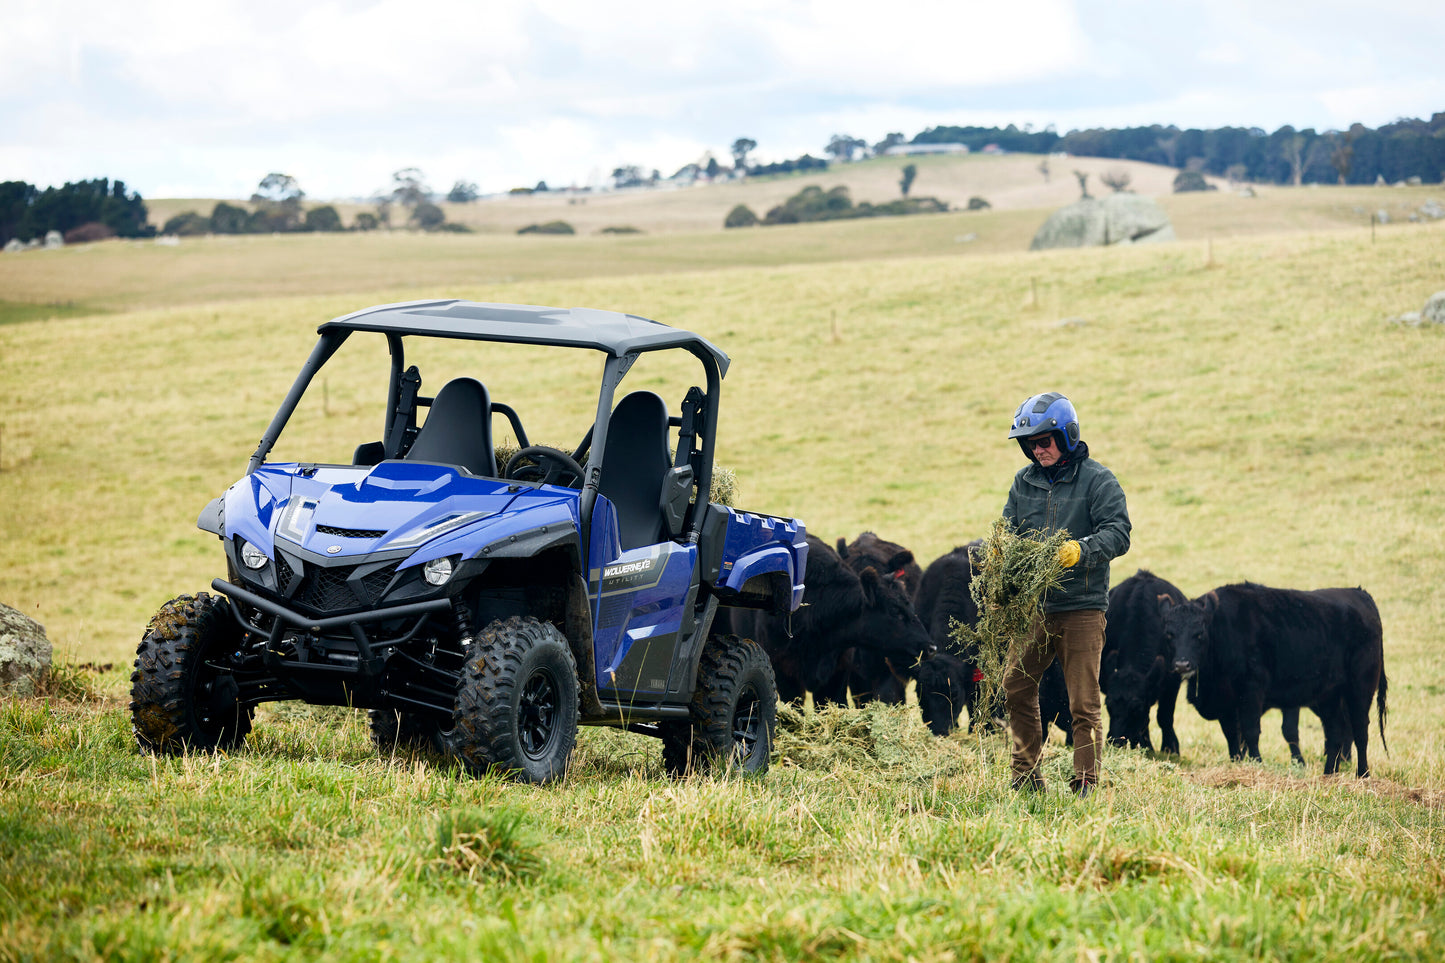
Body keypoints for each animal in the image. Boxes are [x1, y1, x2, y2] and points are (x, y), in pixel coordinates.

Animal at [1161, 578, 1387, 775]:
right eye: (1169, 634)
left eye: (1199, 633)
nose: (1182, 664)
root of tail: (1359, 594)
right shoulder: (1227, 704)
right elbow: (1232, 737)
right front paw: (1237, 764)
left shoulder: (1252, 690)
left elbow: (1251, 731)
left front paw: (1257, 764)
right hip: (1329, 695)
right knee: (1335, 732)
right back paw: (1329, 774)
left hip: (1360, 688)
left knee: (1360, 730)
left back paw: (1362, 774)